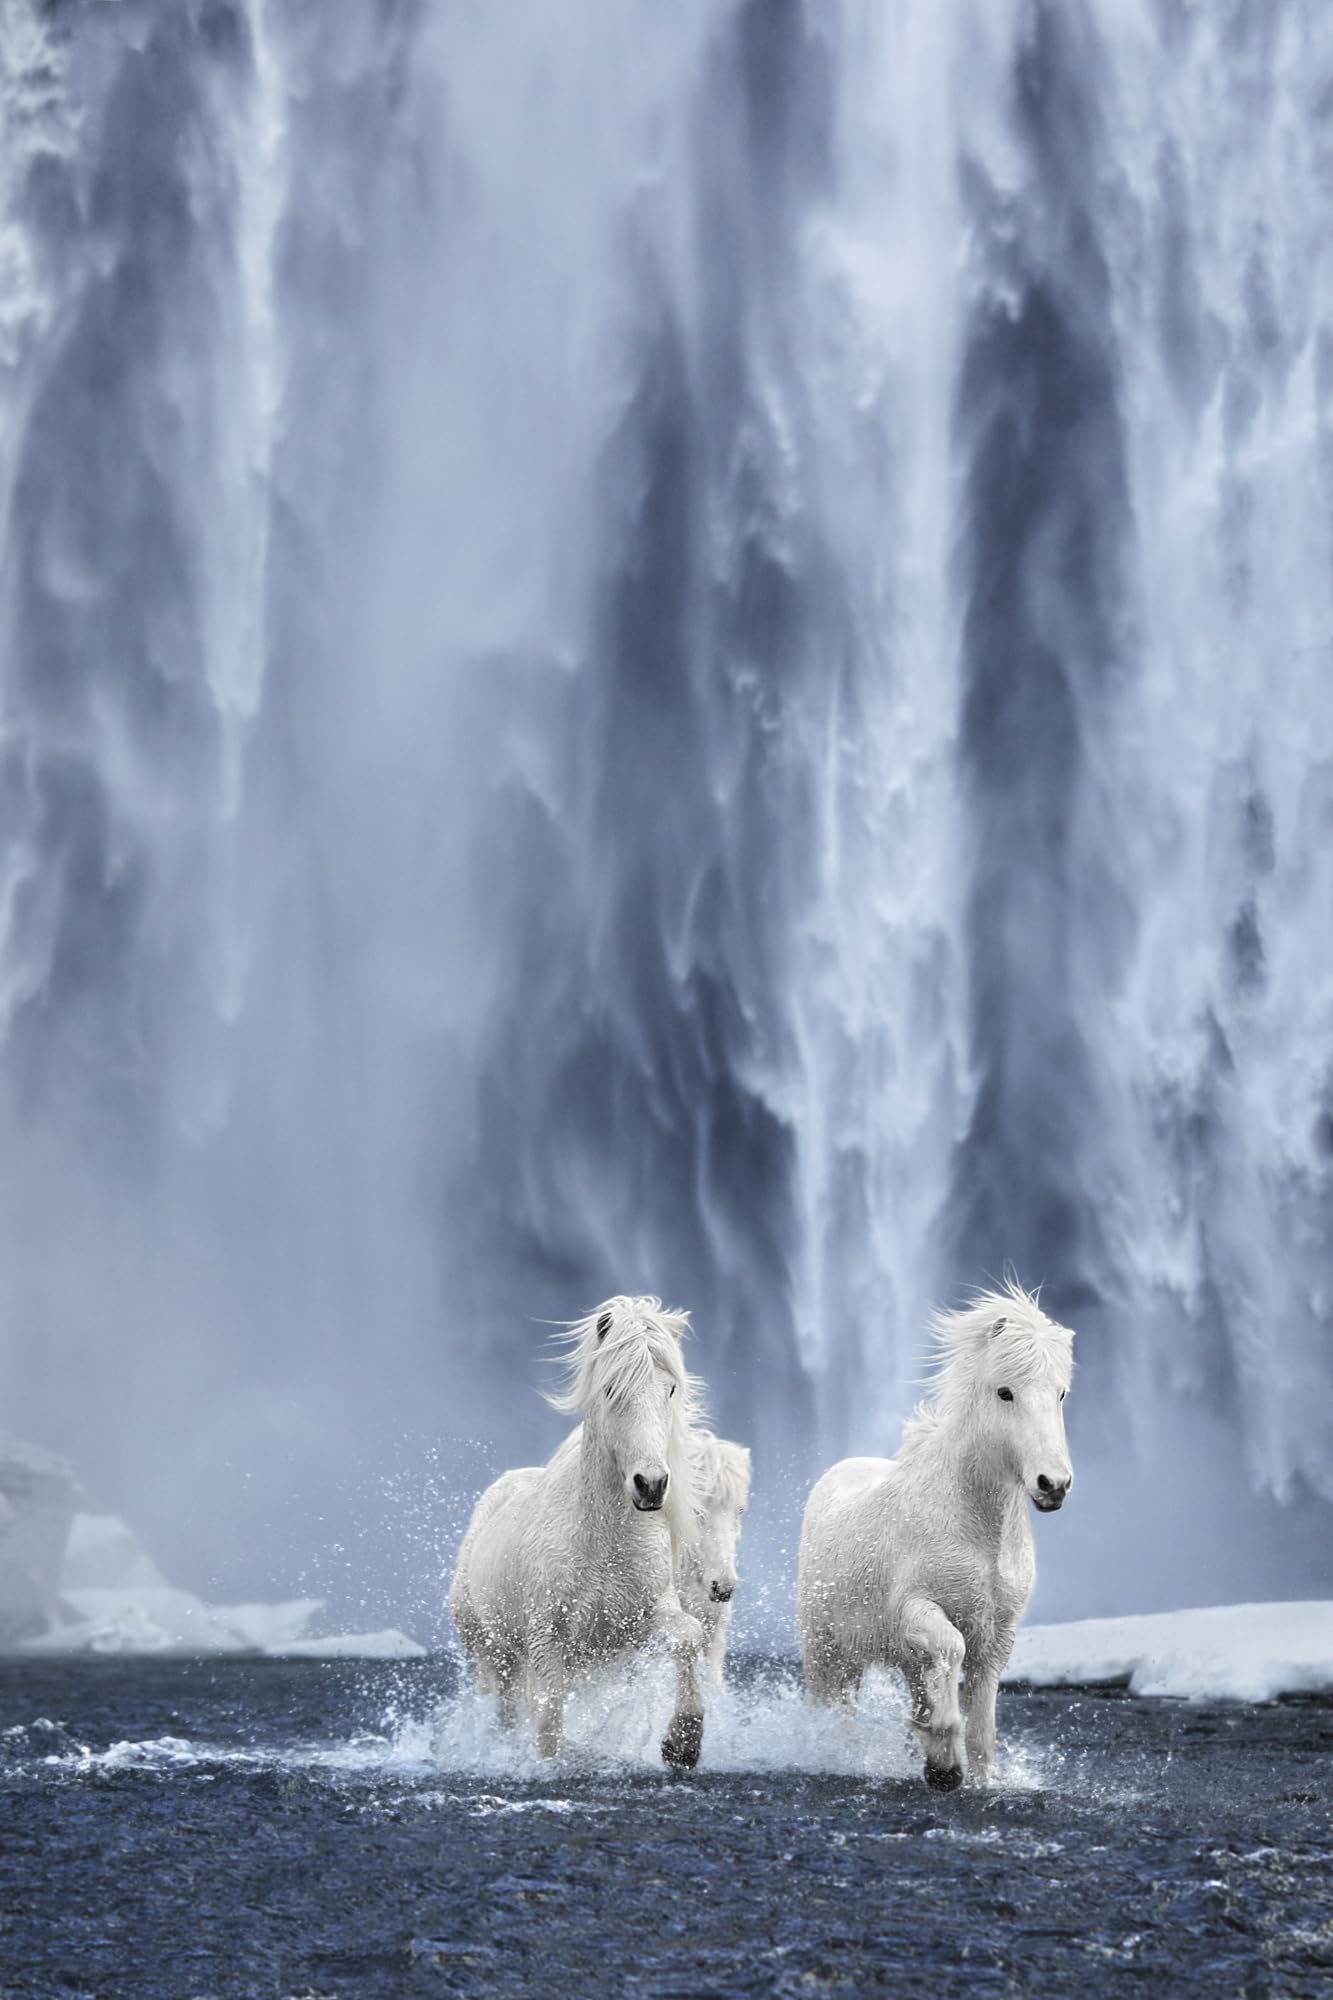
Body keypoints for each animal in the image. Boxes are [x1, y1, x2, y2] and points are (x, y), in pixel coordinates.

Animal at [448, 1296, 708, 1767]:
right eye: (610, 1389)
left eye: (671, 1389)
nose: (651, 1485)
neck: (604, 1544)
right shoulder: (545, 1638)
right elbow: (549, 1719)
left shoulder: (640, 1622)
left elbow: (688, 1636)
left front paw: (683, 1744)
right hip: (495, 1651)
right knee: (505, 1709)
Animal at [797, 1280, 1074, 1790]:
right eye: (1005, 1392)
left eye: (1061, 1393)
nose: (1053, 1485)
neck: (978, 1532)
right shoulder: (915, 1609)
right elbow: (951, 1648)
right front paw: (943, 1762)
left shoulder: (997, 1635)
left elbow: (982, 1722)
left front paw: (969, 1774)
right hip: (827, 1648)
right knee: (833, 1704)